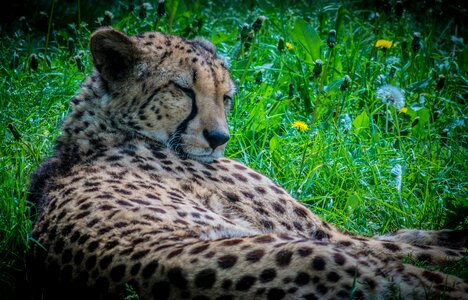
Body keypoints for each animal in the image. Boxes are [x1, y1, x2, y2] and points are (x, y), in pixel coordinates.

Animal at [27, 27, 466, 298]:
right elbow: (402, 244)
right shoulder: (321, 234)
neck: (101, 132)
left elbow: (403, 235)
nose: (219, 138)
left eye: (226, 97)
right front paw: (454, 240)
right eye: (182, 90)